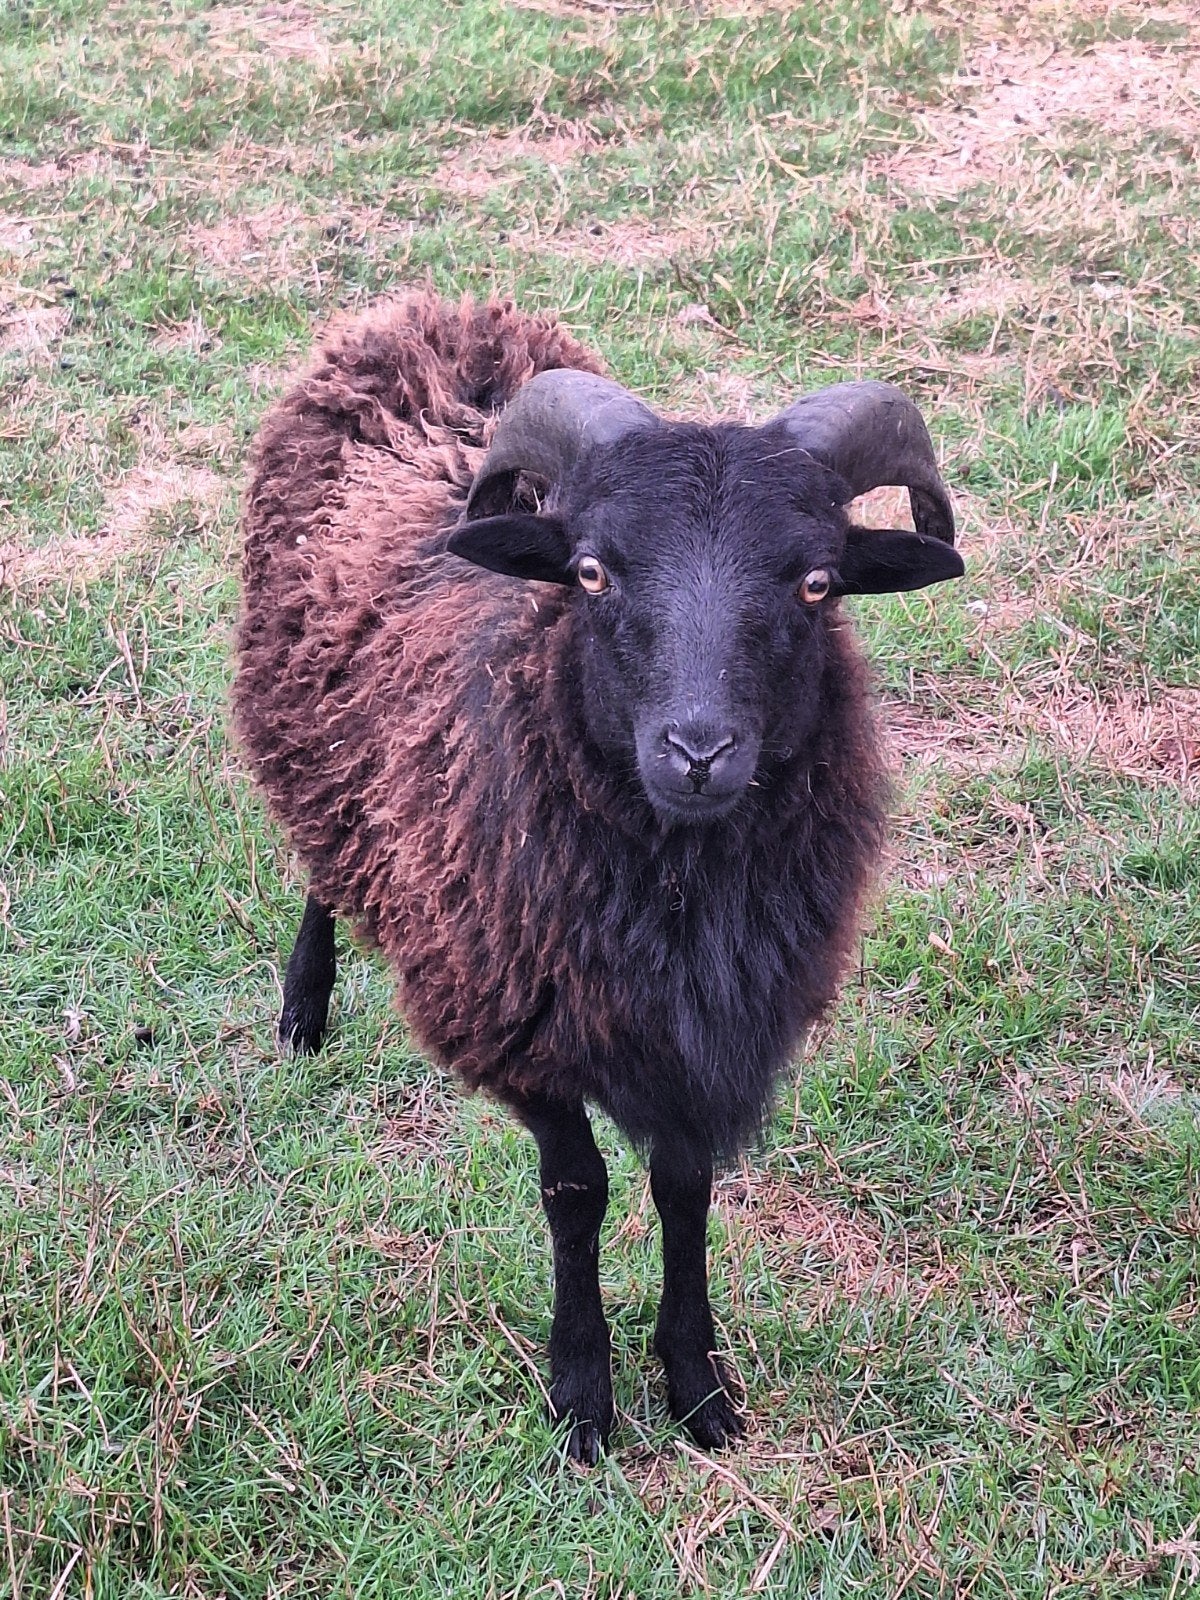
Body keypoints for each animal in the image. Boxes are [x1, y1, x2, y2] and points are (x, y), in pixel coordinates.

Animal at [233, 289, 963, 1463]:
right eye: (590, 571)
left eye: (816, 581)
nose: (698, 750)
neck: (676, 890)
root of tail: (429, 308)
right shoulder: (522, 1022)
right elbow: (576, 1192)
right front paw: (582, 1396)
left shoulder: (704, 1037)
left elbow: (683, 1190)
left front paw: (697, 1387)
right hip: (310, 738)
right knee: (325, 856)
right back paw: (305, 1006)